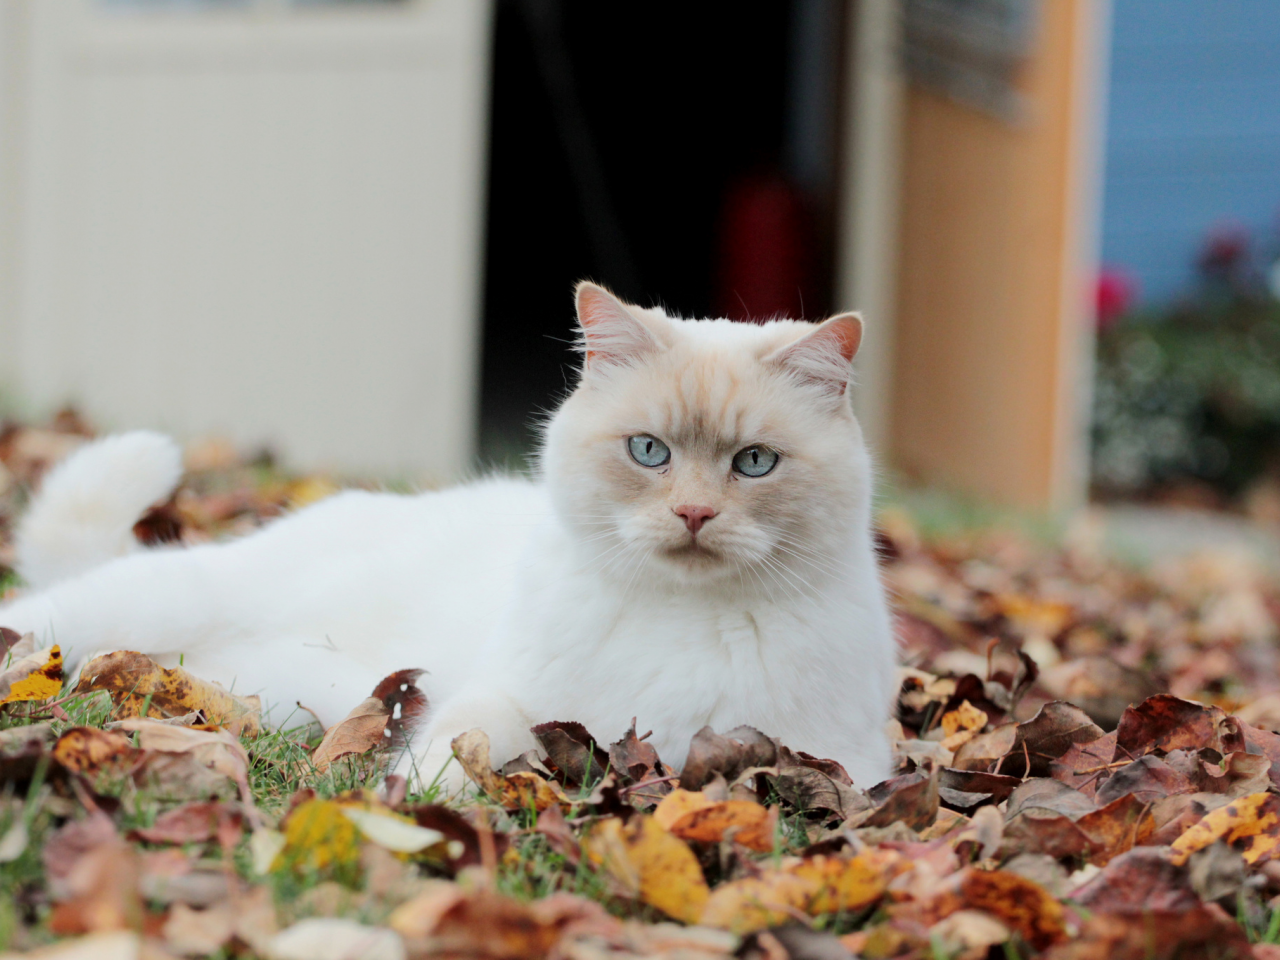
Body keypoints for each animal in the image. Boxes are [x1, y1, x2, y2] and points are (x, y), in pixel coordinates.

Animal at [0, 284, 901, 788]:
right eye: (649, 451)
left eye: (755, 463)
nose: (693, 516)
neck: (681, 620)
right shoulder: (505, 700)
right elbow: (454, 754)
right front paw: (424, 813)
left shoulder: (837, 760)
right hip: (153, 602)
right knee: (34, 620)